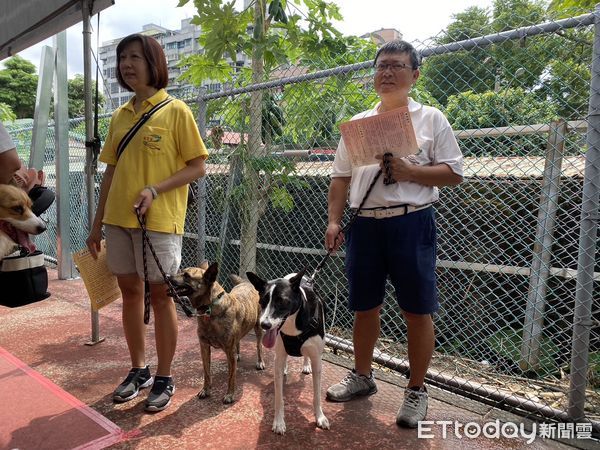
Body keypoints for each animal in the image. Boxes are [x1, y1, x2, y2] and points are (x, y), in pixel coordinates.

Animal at [168, 262, 264, 402]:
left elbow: (231, 377)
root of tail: (246, 283)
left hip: (258, 328)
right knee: (239, 341)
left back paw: (260, 361)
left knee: (258, 346)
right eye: (181, 271)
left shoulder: (229, 351)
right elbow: (206, 372)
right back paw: (238, 354)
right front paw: (205, 390)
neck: (209, 309)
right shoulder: (204, 347)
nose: (167, 276)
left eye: (187, 276)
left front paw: (229, 394)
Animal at [247, 268, 330, 434]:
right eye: (263, 301)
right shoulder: (278, 358)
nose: (264, 325)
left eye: (282, 301)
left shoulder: (317, 360)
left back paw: (306, 366)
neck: (293, 323)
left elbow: (317, 395)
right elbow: (279, 397)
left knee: (306, 357)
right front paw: (279, 422)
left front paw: (320, 417)